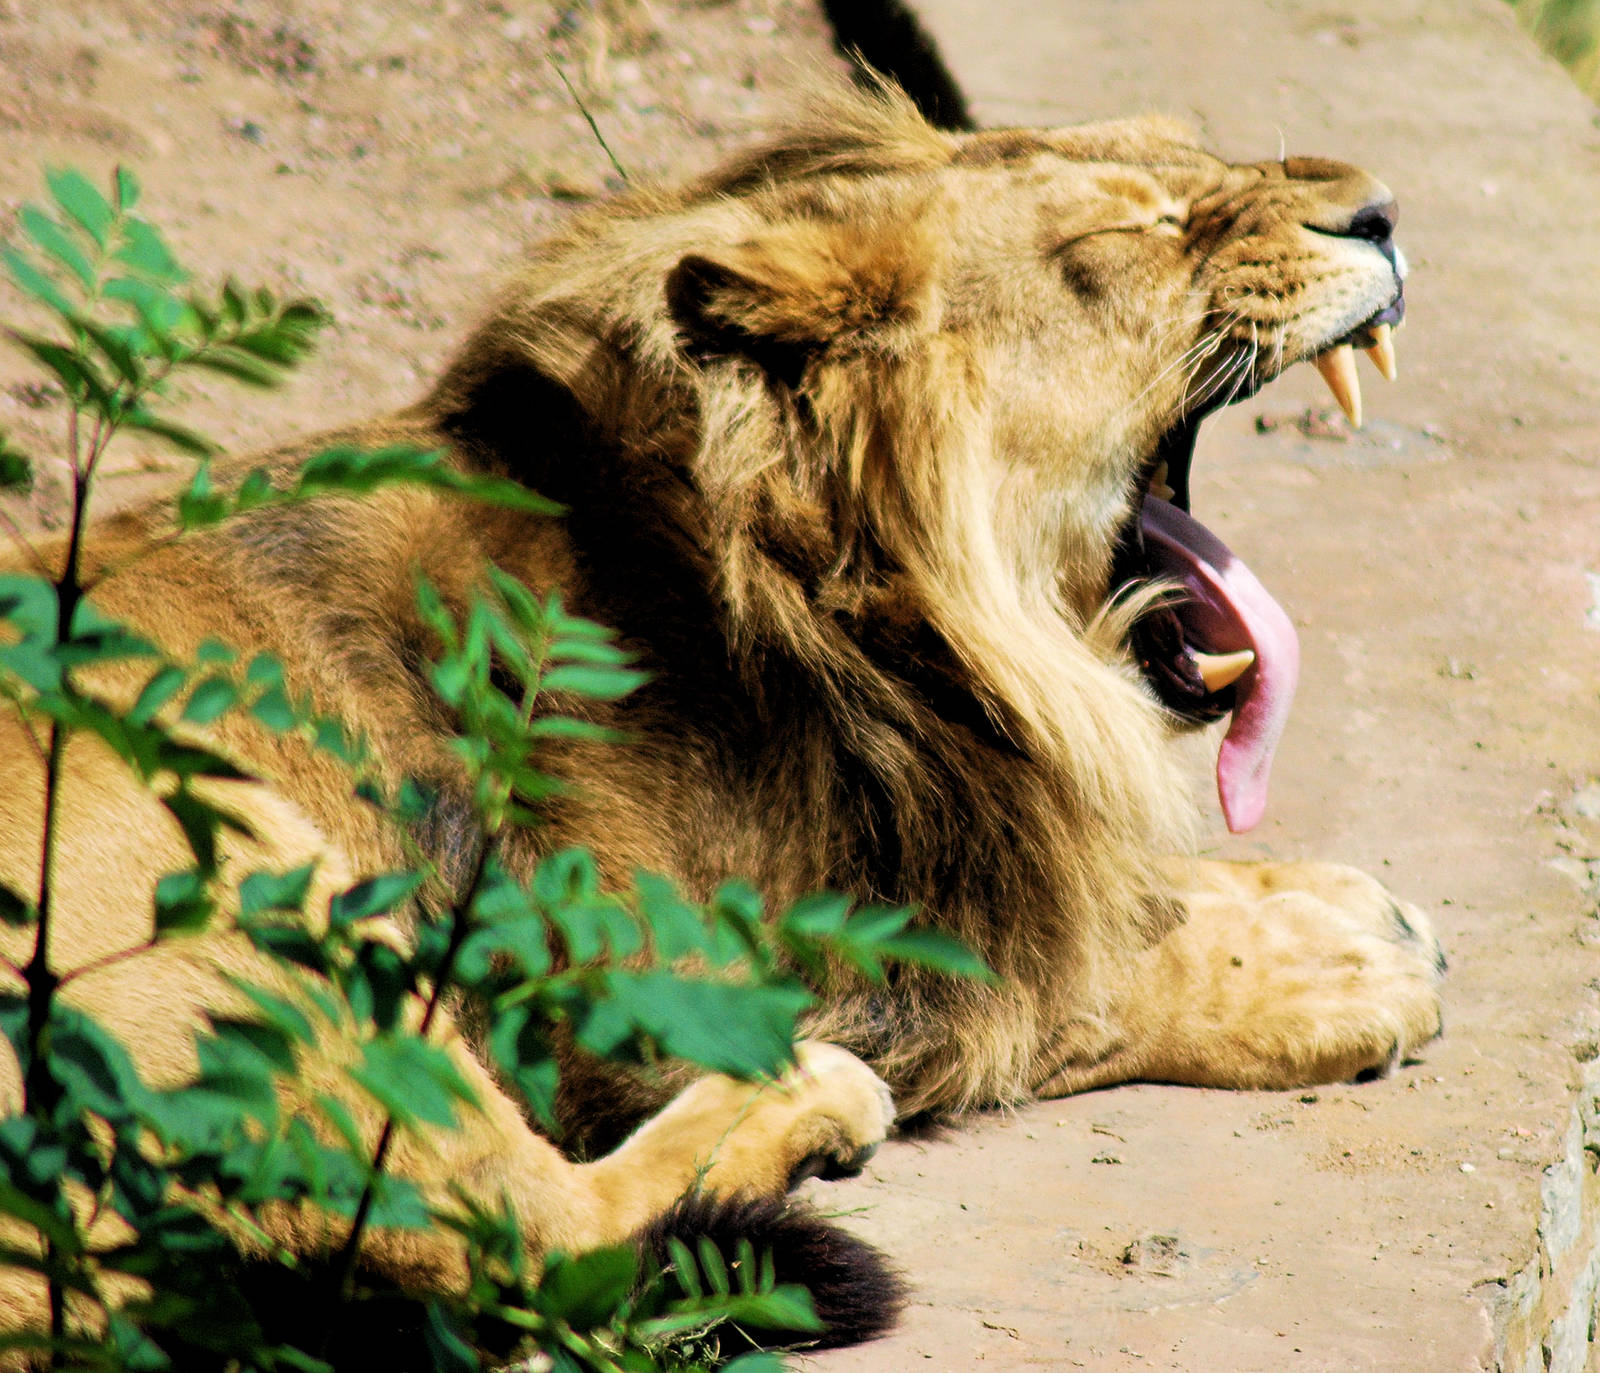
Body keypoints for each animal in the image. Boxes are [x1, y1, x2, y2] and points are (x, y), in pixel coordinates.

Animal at [0, 81, 1443, 1351]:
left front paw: (1322, 903)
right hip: (225, 846)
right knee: (526, 1234)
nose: (1381, 210)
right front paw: (1335, 972)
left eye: (1190, 159)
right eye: (1132, 229)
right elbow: (1072, 983)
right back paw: (803, 1104)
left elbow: (1112, 905)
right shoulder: (661, 968)